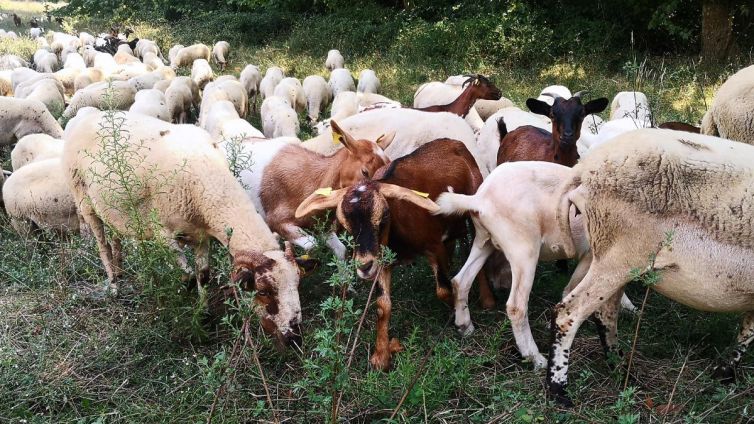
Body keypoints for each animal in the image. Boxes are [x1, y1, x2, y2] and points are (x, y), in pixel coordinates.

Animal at [62, 110, 302, 348]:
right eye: (263, 291)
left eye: (298, 281)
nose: (294, 338)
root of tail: (85, 117)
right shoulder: (163, 234)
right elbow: (187, 277)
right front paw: (186, 310)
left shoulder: (202, 236)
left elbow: (203, 275)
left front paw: (204, 314)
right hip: (84, 200)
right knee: (102, 245)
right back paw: (114, 286)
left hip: (112, 209)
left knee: (115, 238)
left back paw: (120, 272)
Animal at [290, 140, 490, 372]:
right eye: (345, 225)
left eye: (385, 215)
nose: (364, 266)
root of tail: (454, 143)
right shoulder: (382, 261)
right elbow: (382, 306)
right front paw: (381, 356)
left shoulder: (434, 246)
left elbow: (443, 290)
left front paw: (458, 314)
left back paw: (487, 300)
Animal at [548, 130, 754, 408]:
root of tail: (583, 170)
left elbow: (747, 331)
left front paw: (725, 373)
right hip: (621, 255)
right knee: (568, 313)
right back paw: (559, 390)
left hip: (603, 253)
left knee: (603, 311)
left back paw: (620, 368)